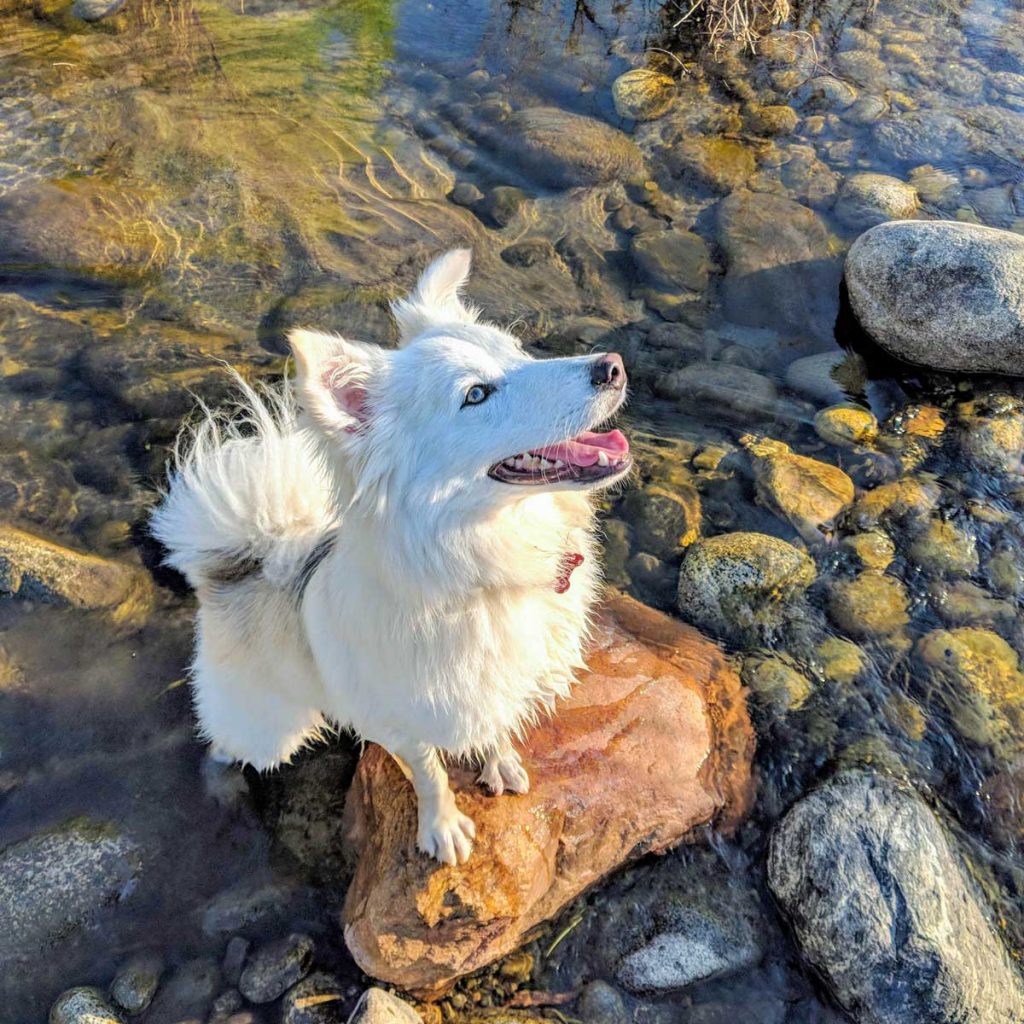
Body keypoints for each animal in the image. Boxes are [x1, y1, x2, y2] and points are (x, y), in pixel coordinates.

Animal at [150, 249, 626, 864]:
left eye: (519, 352)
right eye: (476, 395)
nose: (612, 366)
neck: (478, 568)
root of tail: (239, 567)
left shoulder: (494, 686)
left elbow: (493, 724)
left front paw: (498, 761)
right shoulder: (401, 715)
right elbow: (429, 773)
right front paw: (442, 827)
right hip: (267, 724)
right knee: (227, 742)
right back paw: (220, 781)